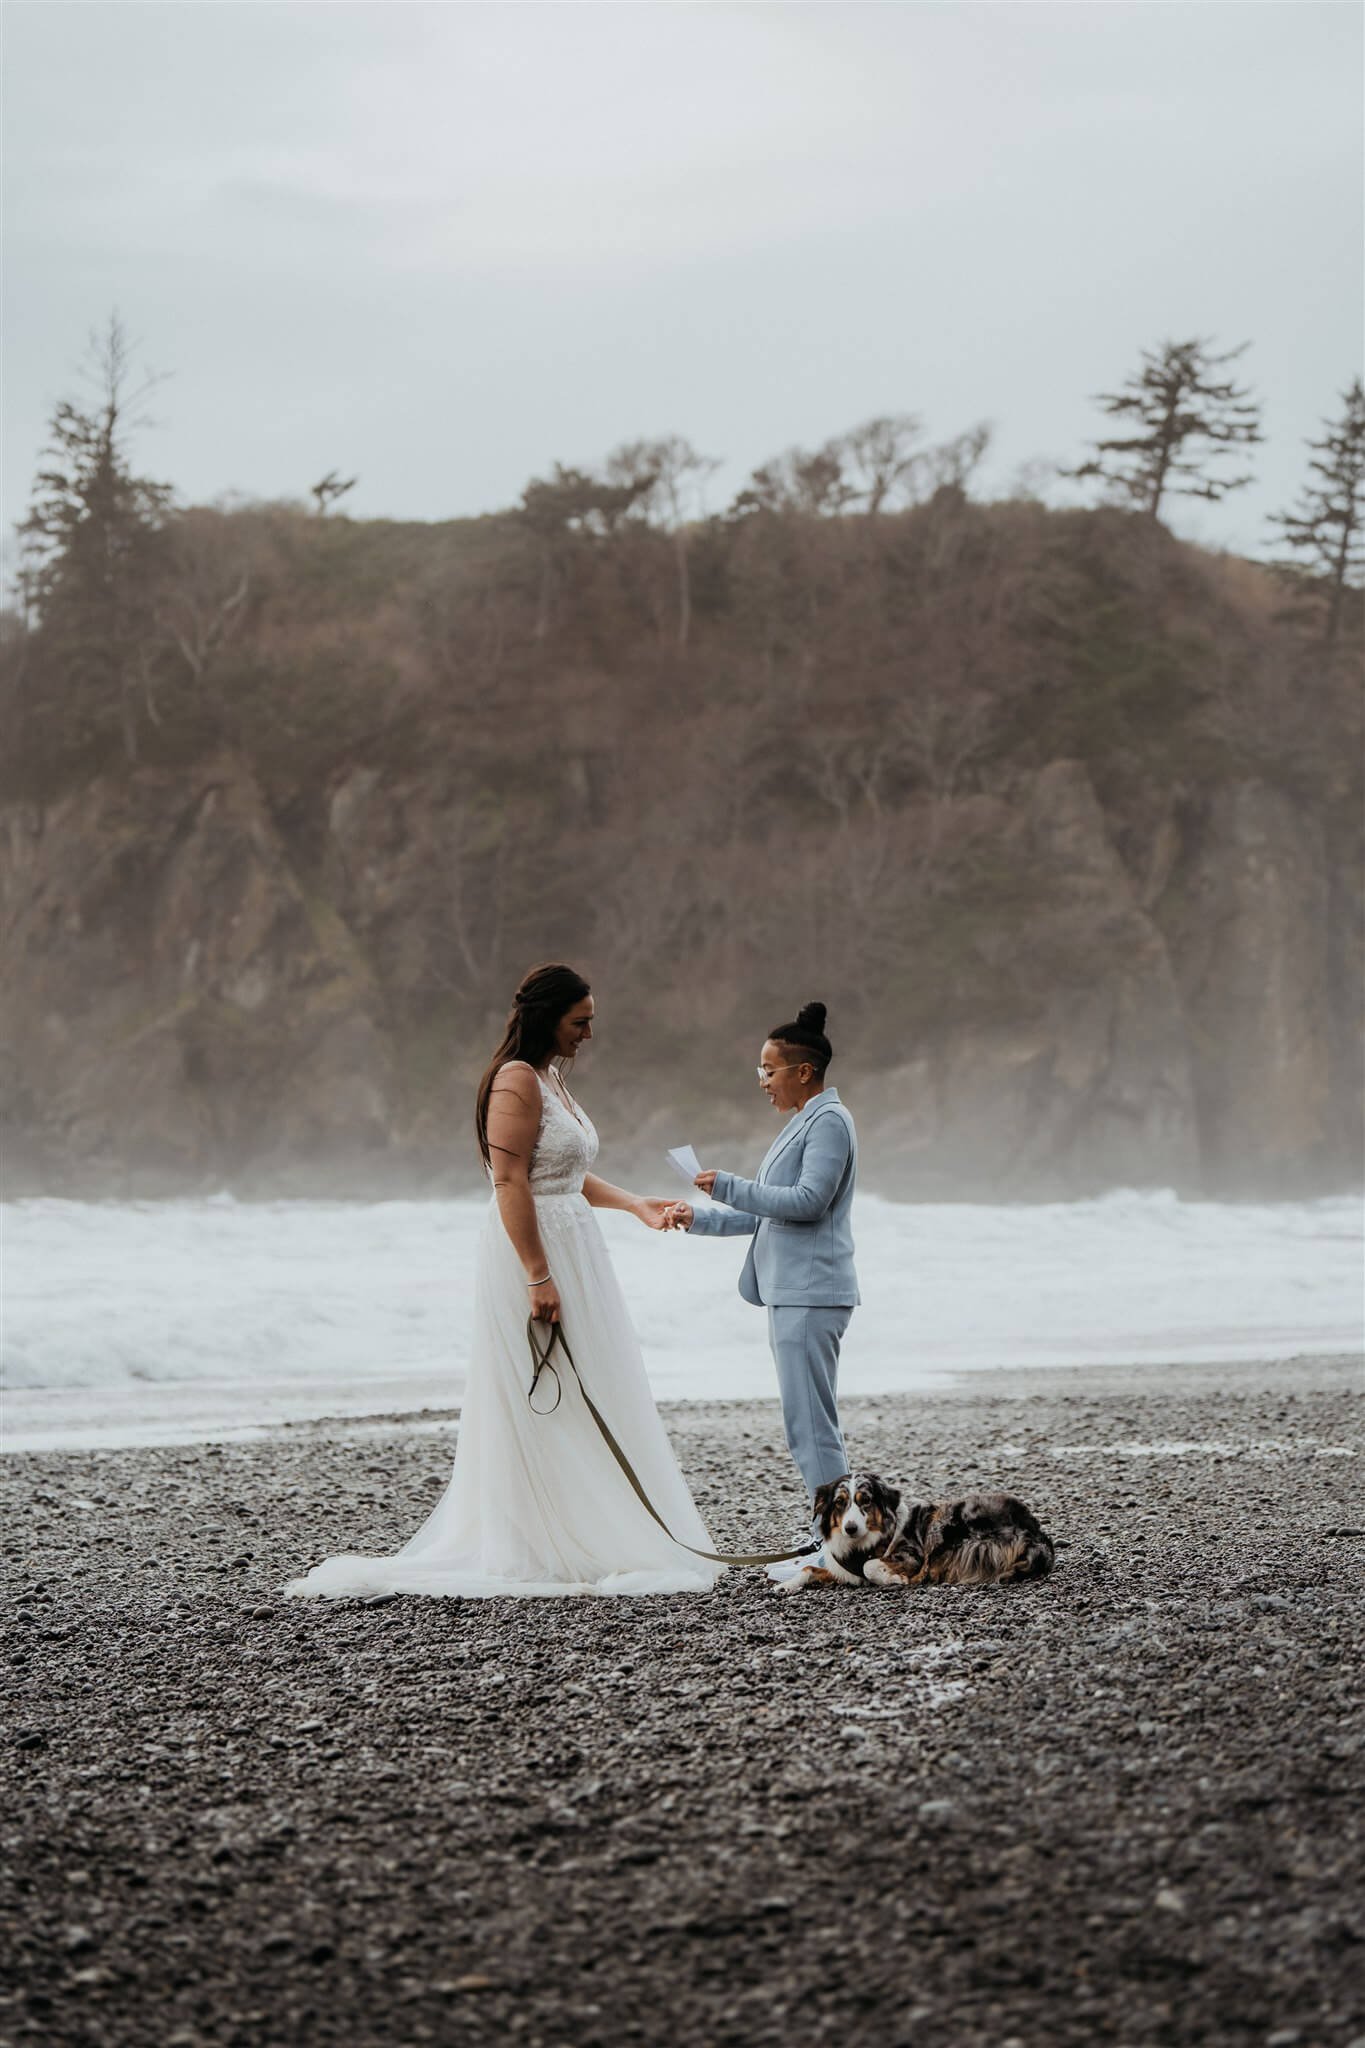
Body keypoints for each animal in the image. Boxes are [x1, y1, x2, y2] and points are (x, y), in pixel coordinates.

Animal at [777, 1466, 1055, 1589]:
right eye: (839, 1503)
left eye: (865, 1501)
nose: (851, 1528)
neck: (859, 1544)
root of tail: (1036, 1532)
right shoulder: (843, 1571)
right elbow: (809, 1568)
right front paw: (787, 1584)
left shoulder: (910, 1554)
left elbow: (870, 1566)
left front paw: (893, 1577)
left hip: (949, 1525)